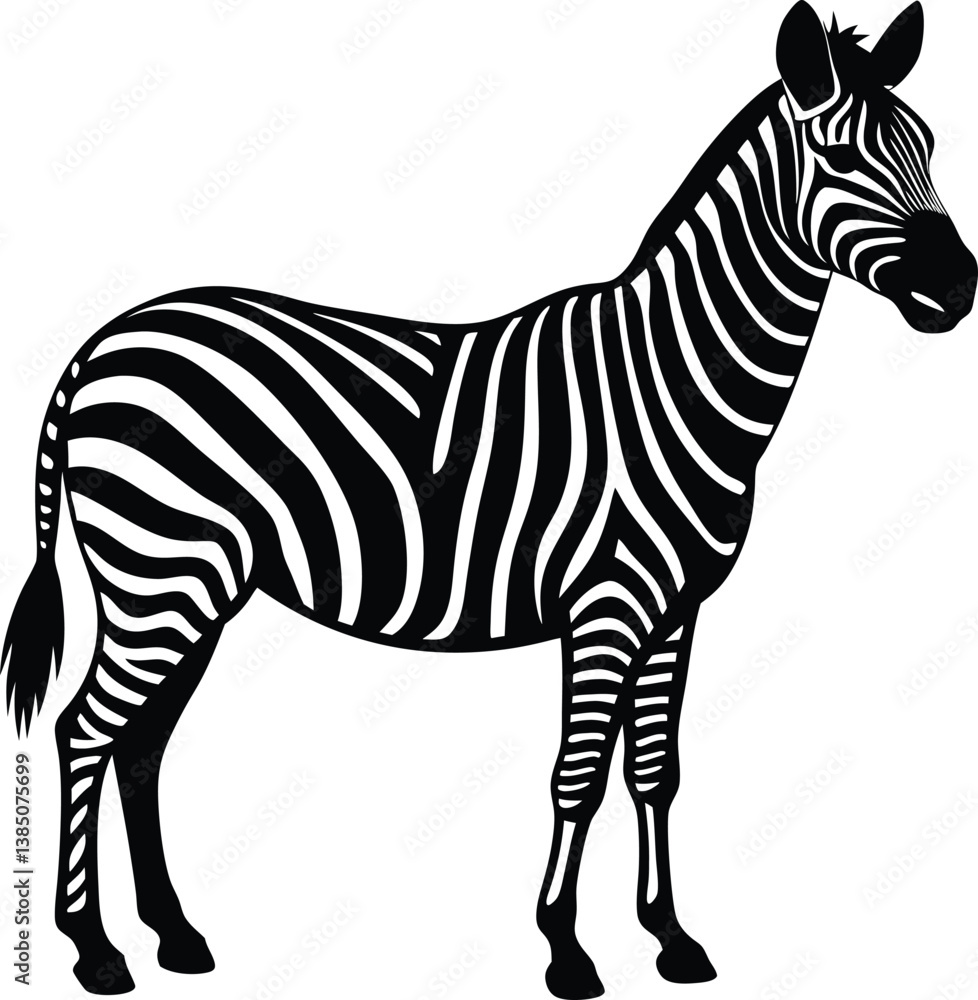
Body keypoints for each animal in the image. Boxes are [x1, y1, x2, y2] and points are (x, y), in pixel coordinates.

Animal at [2, 1, 975, 996]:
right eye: (842, 157)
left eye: (931, 145)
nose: (959, 289)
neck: (671, 380)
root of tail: (103, 341)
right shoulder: (606, 607)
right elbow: (579, 773)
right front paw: (567, 951)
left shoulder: (677, 612)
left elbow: (655, 769)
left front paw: (671, 938)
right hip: (160, 575)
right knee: (86, 730)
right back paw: (94, 949)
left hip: (192, 587)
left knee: (140, 745)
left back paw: (174, 935)